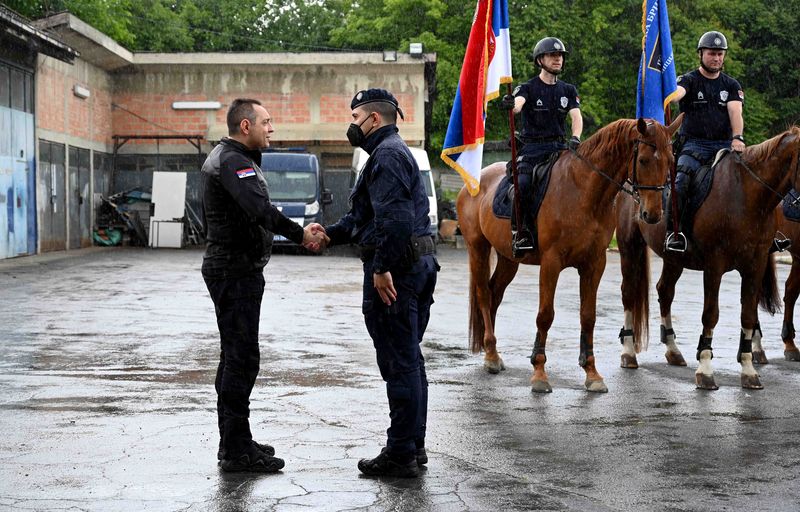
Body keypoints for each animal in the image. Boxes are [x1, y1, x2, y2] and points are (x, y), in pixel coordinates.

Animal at [460, 118, 680, 394]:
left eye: (670, 160)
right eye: (643, 160)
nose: (652, 214)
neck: (584, 192)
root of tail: (474, 180)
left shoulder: (594, 264)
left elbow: (588, 316)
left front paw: (592, 373)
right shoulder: (551, 263)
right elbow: (545, 315)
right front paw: (539, 373)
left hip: (508, 259)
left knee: (495, 294)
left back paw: (493, 351)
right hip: (477, 248)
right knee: (483, 294)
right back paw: (490, 355)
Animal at [620, 126, 800, 390]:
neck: (746, 195)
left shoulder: (755, 265)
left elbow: (748, 314)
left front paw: (748, 369)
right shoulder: (715, 265)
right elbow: (711, 314)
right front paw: (705, 369)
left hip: (673, 259)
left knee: (665, 291)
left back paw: (673, 350)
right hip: (629, 247)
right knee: (629, 293)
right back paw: (628, 352)